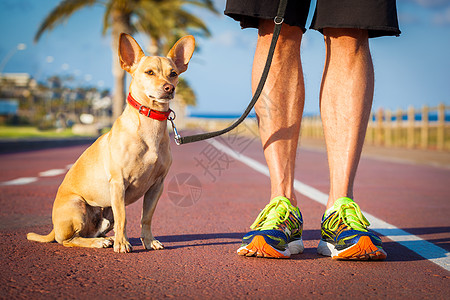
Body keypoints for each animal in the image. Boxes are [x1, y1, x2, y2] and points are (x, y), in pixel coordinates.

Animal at [26, 32, 195, 253]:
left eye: (173, 73)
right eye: (149, 72)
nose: (169, 87)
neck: (151, 125)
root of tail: (54, 228)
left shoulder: (156, 186)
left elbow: (146, 218)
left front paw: (148, 241)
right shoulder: (118, 184)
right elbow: (123, 217)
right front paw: (122, 244)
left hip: (105, 215)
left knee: (90, 232)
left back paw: (106, 238)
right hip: (78, 206)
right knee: (69, 239)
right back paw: (101, 242)